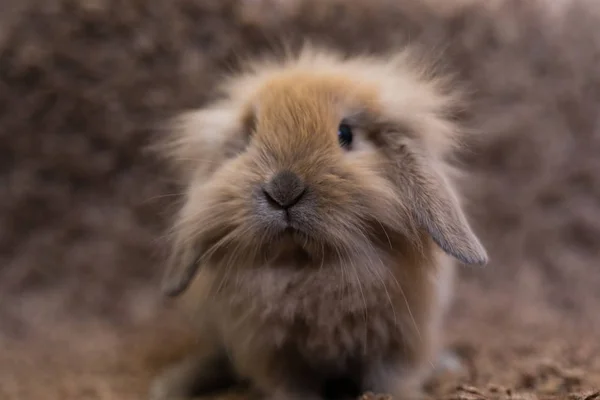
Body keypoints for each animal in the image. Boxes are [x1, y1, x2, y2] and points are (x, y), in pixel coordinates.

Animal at [149, 43, 488, 400]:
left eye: (345, 134)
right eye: (249, 136)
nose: (283, 190)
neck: (310, 268)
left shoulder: (401, 340)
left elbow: (391, 380)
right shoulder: (269, 351)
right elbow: (290, 387)